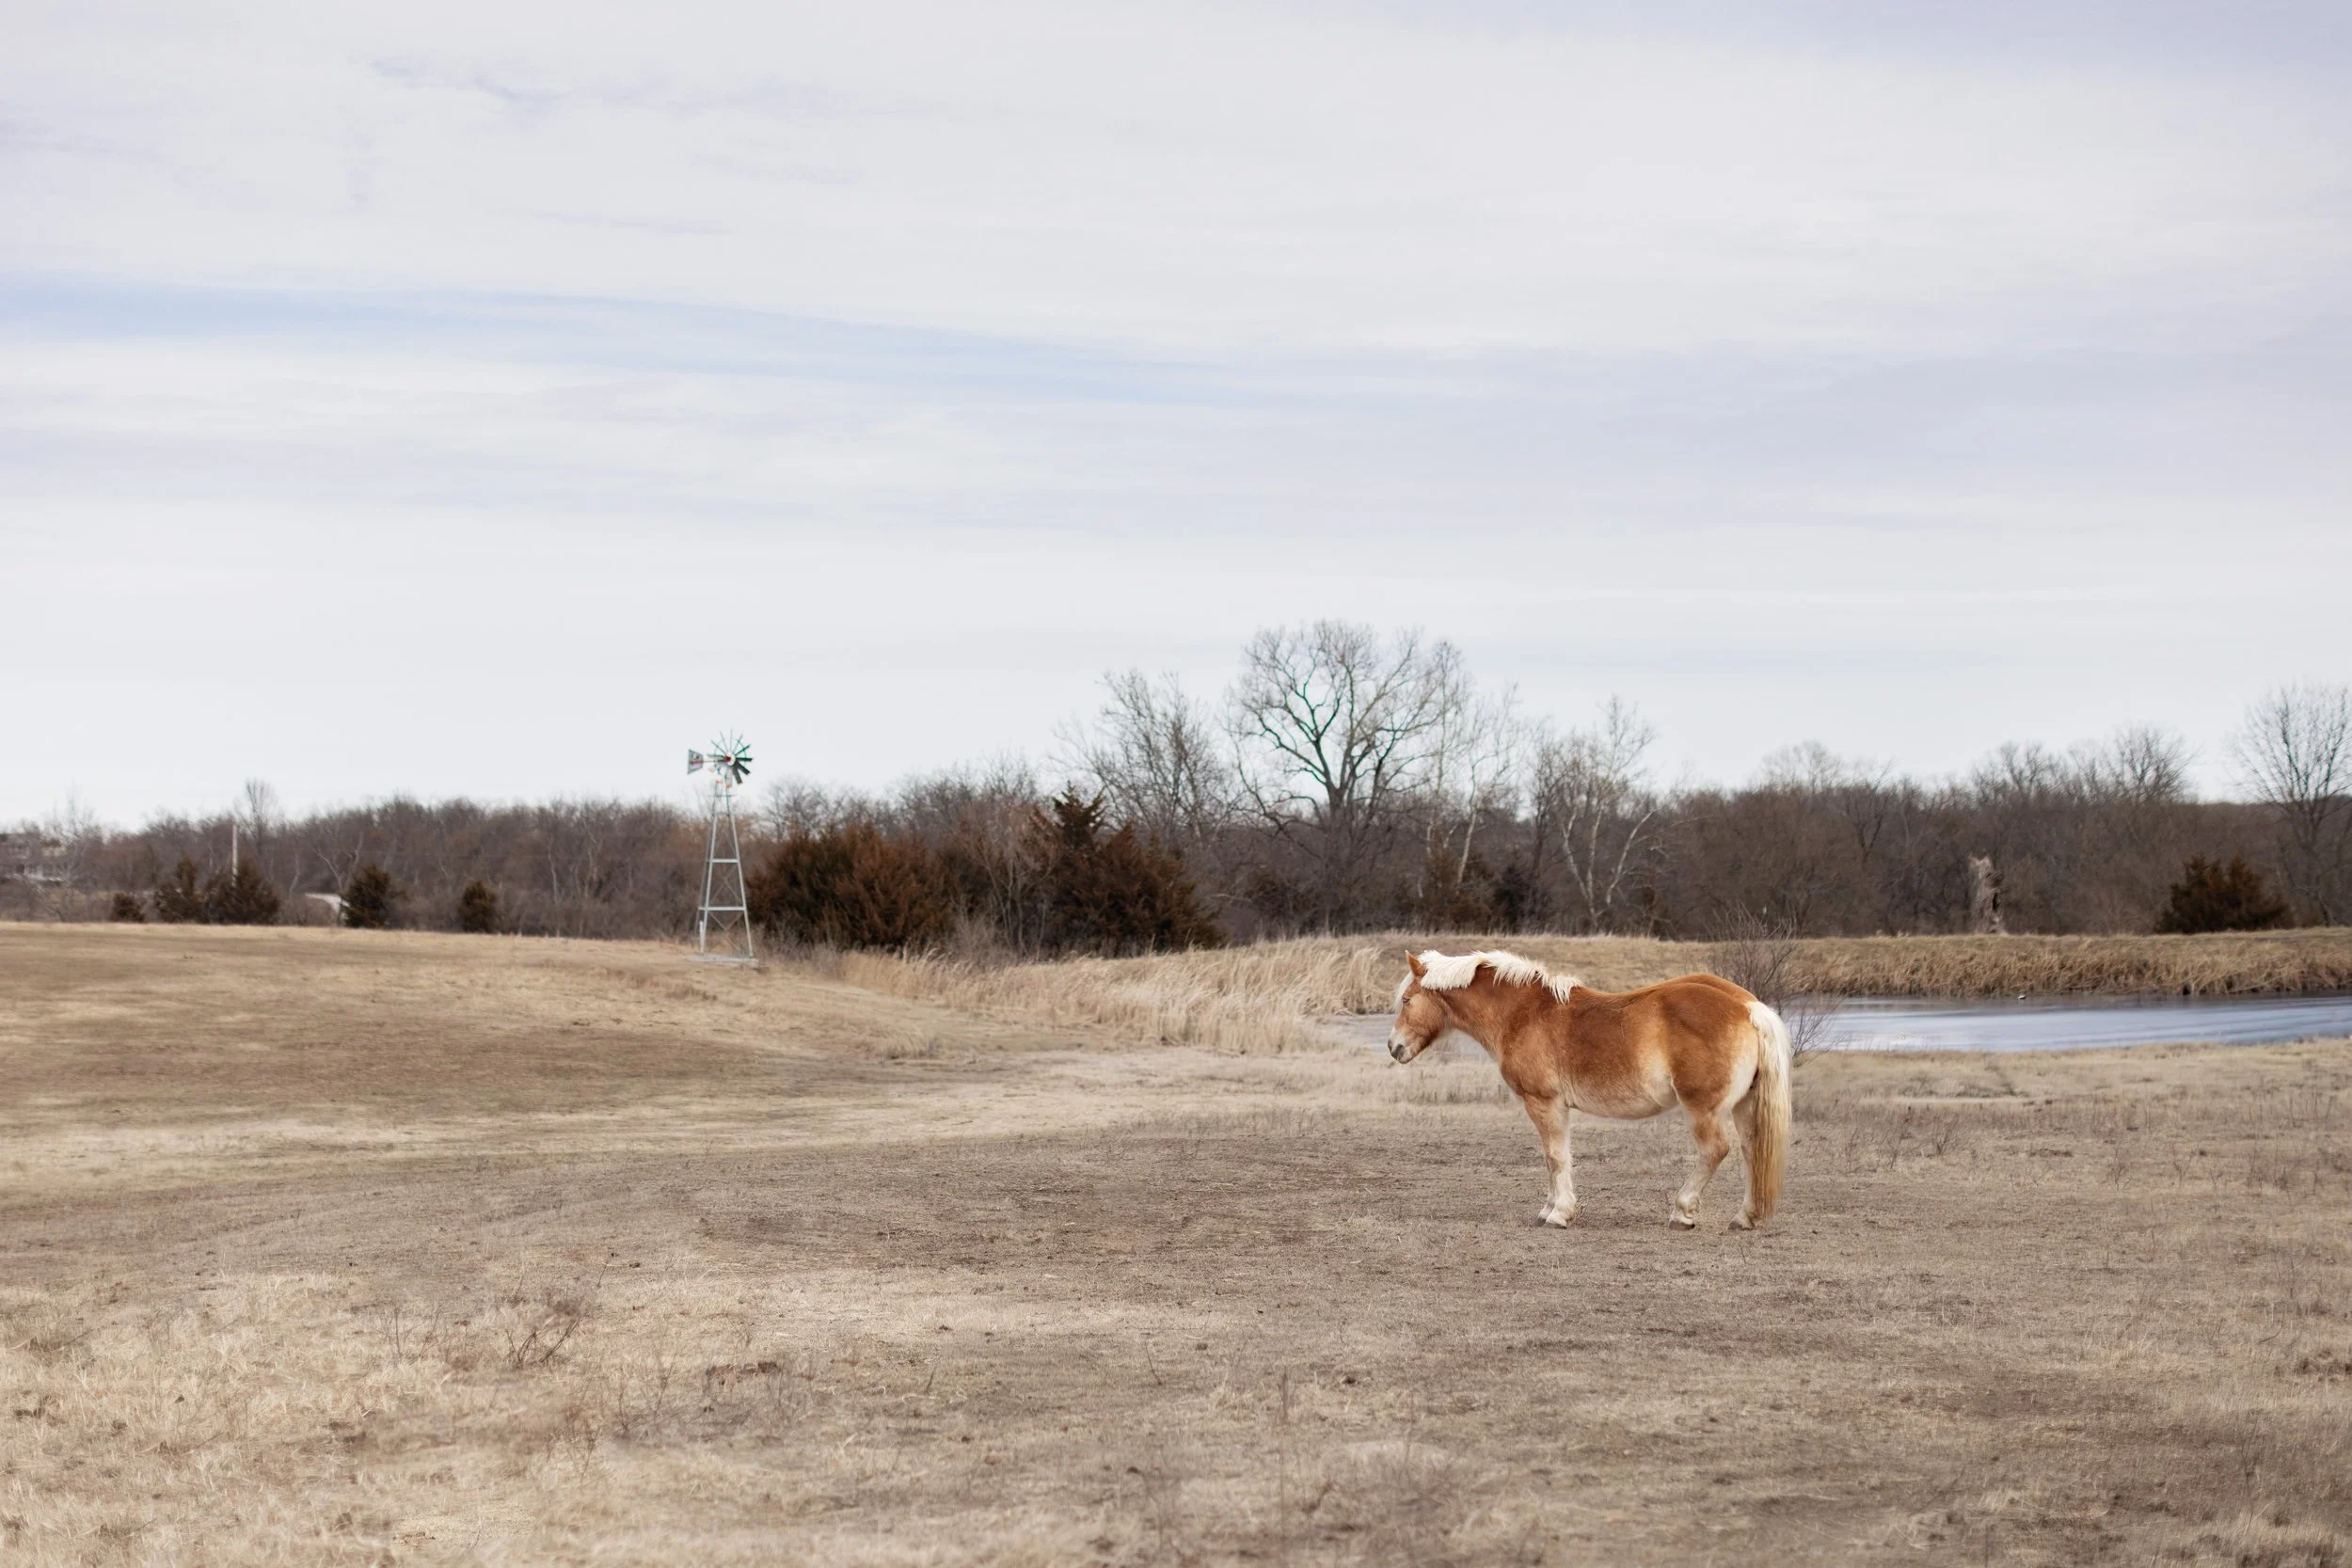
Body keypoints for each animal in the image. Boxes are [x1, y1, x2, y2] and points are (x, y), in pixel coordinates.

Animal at [1386, 949, 1791, 1230]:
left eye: (1406, 1000)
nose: (1394, 1047)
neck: (1522, 1014)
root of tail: (1748, 1006)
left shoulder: (1544, 1103)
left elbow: (1555, 1157)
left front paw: (1559, 1214)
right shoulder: (1557, 1107)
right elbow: (1556, 1156)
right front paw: (1548, 1209)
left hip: (1703, 1110)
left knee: (1715, 1150)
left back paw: (1682, 1212)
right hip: (1743, 1105)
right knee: (1752, 1150)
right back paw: (1745, 1217)